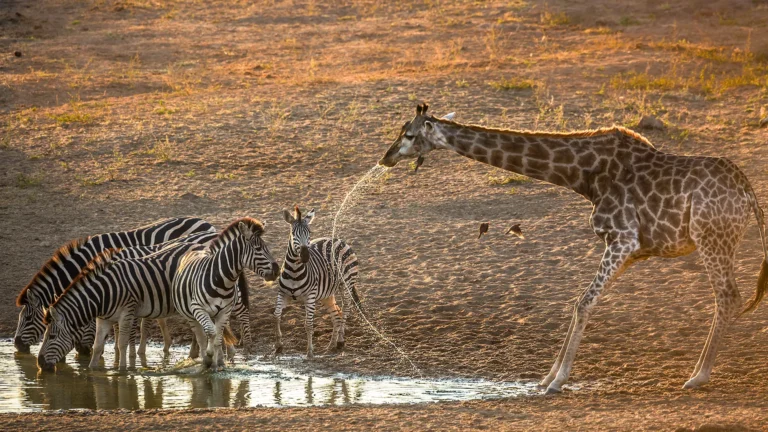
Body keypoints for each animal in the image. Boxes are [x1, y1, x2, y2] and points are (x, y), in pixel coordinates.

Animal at [37, 239, 220, 372]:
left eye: (51, 336)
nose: (39, 364)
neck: (103, 293)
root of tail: (201, 245)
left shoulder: (127, 312)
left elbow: (122, 342)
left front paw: (123, 371)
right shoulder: (103, 318)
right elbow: (97, 346)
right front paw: (92, 370)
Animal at [173, 217, 279, 369]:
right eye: (258, 249)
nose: (277, 270)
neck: (221, 281)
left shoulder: (224, 311)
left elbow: (217, 338)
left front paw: (219, 364)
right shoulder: (197, 308)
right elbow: (211, 333)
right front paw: (209, 358)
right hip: (190, 315)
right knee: (201, 337)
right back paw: (204, 359)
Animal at [275, 207, 361, 359]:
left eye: (309, 233)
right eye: (293, 233)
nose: (305, 256)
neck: (294, 271)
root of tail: (337, 239)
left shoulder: (309, 297)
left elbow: (308, 324)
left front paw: (309, 351)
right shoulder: (282, 294)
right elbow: (277, 315)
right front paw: (279, 345)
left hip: (346, 284)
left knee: (345, 309)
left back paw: (340, 341)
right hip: (326, 293)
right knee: (337, 315)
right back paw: (331, 345)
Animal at [378, 103, 768, 393]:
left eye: (409, 135)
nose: (386, 158)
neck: (584, 175)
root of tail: (748, 194)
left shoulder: (623, 238)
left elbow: (583, 303)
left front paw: (557, 380)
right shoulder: (631, 250)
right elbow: (580, 301)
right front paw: (547, 377)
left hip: (712, 237)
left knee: (728, 296)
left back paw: (698, 376)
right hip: (717, 240)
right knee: (728, 297)